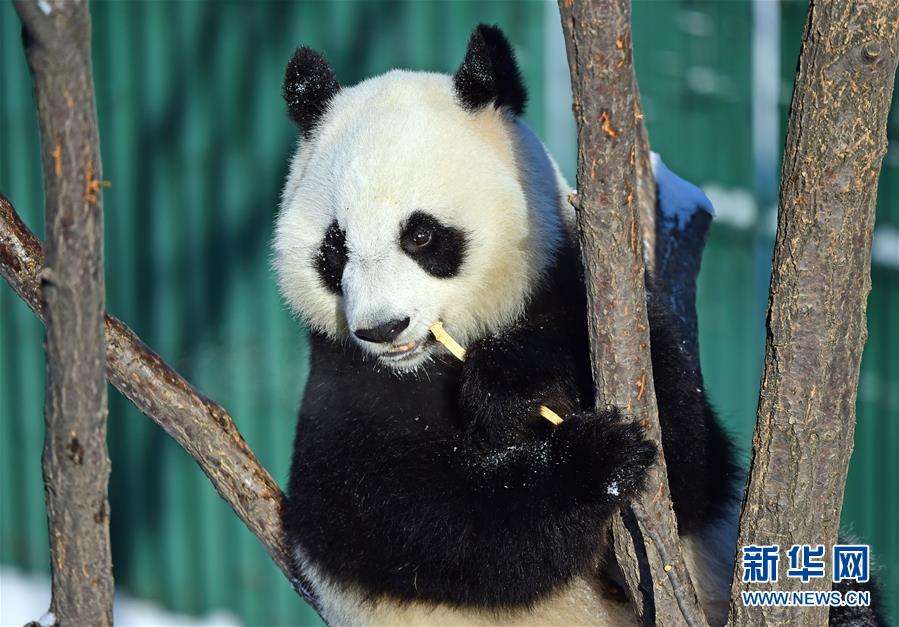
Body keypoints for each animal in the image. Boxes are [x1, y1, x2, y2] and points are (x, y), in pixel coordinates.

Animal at [274, 24, 883, 627]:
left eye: (420, 235)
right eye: (335, 247)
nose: (382, 328)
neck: (436, 360)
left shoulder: (578, 286)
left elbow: (687, 456)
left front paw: (512, 387)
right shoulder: (343, 384)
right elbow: (399, 515)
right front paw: (591, 459)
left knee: (850, 588)